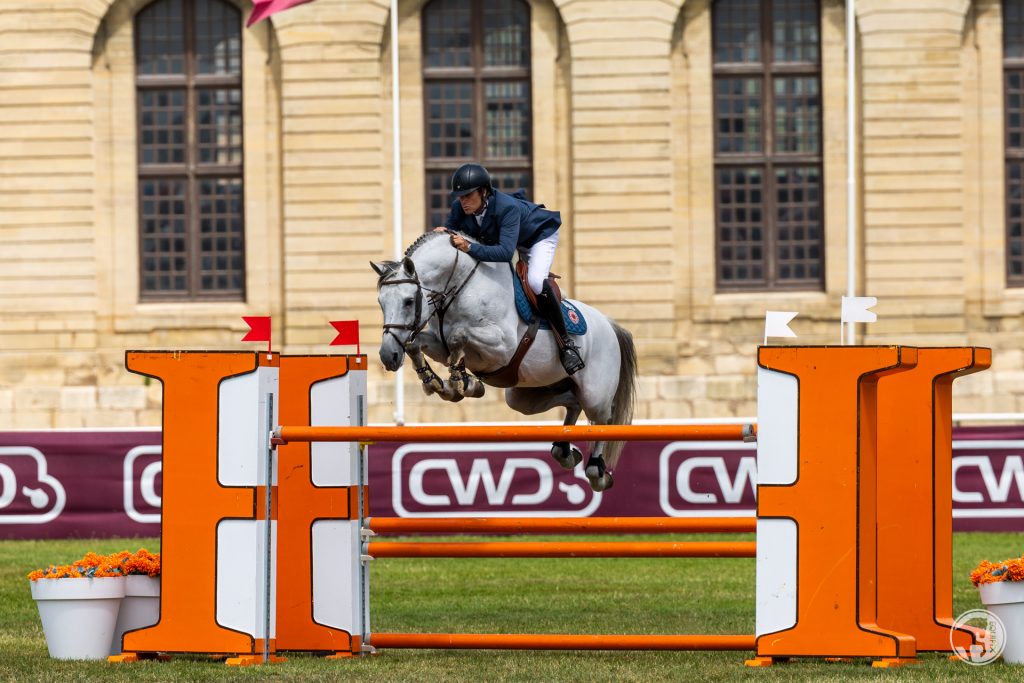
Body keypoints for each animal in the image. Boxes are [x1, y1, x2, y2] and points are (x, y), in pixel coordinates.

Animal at [372, 231, 634, 491]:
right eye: (380, 303)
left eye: (408, 301)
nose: (387, 356)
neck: (461, 286)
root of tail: (610, 324)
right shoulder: (439, 343)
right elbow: (415, 344)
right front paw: (439, 383)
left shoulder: (503, 346)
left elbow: (459, 335)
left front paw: (461, 381)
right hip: (527, 396)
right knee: (572, 401)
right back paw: (565, 451)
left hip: (594, 393)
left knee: (602, 418)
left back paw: (597, 470)